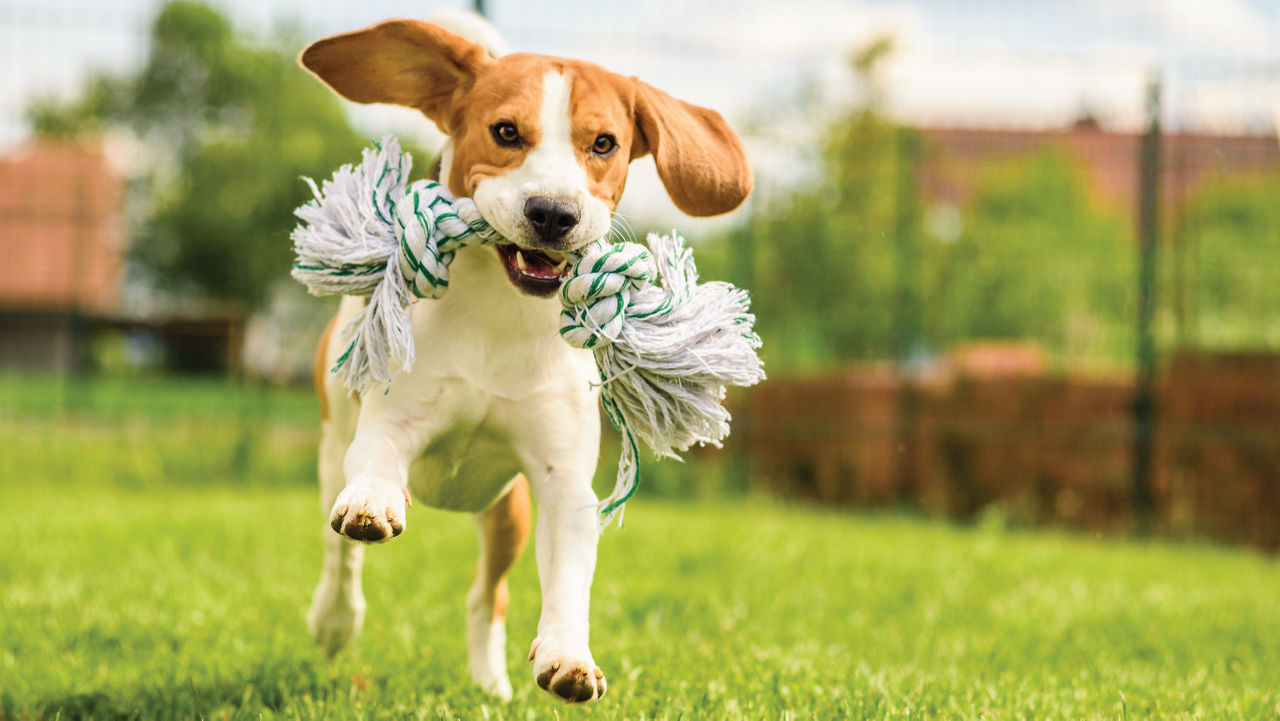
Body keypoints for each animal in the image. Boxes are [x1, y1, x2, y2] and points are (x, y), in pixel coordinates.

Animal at [300, 15, 752, 706]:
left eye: (604, 143)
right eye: (506, 132)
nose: (554, 213)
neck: (501, 318)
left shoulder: (562, 480)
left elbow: (567, 575)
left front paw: (569, 656)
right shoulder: (391, 425)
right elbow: (373, 469)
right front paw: (373, 504)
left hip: (506, 513)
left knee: (487, 596)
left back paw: (490, 683)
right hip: (332, 449)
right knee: (340, 554)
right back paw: (333, 618)